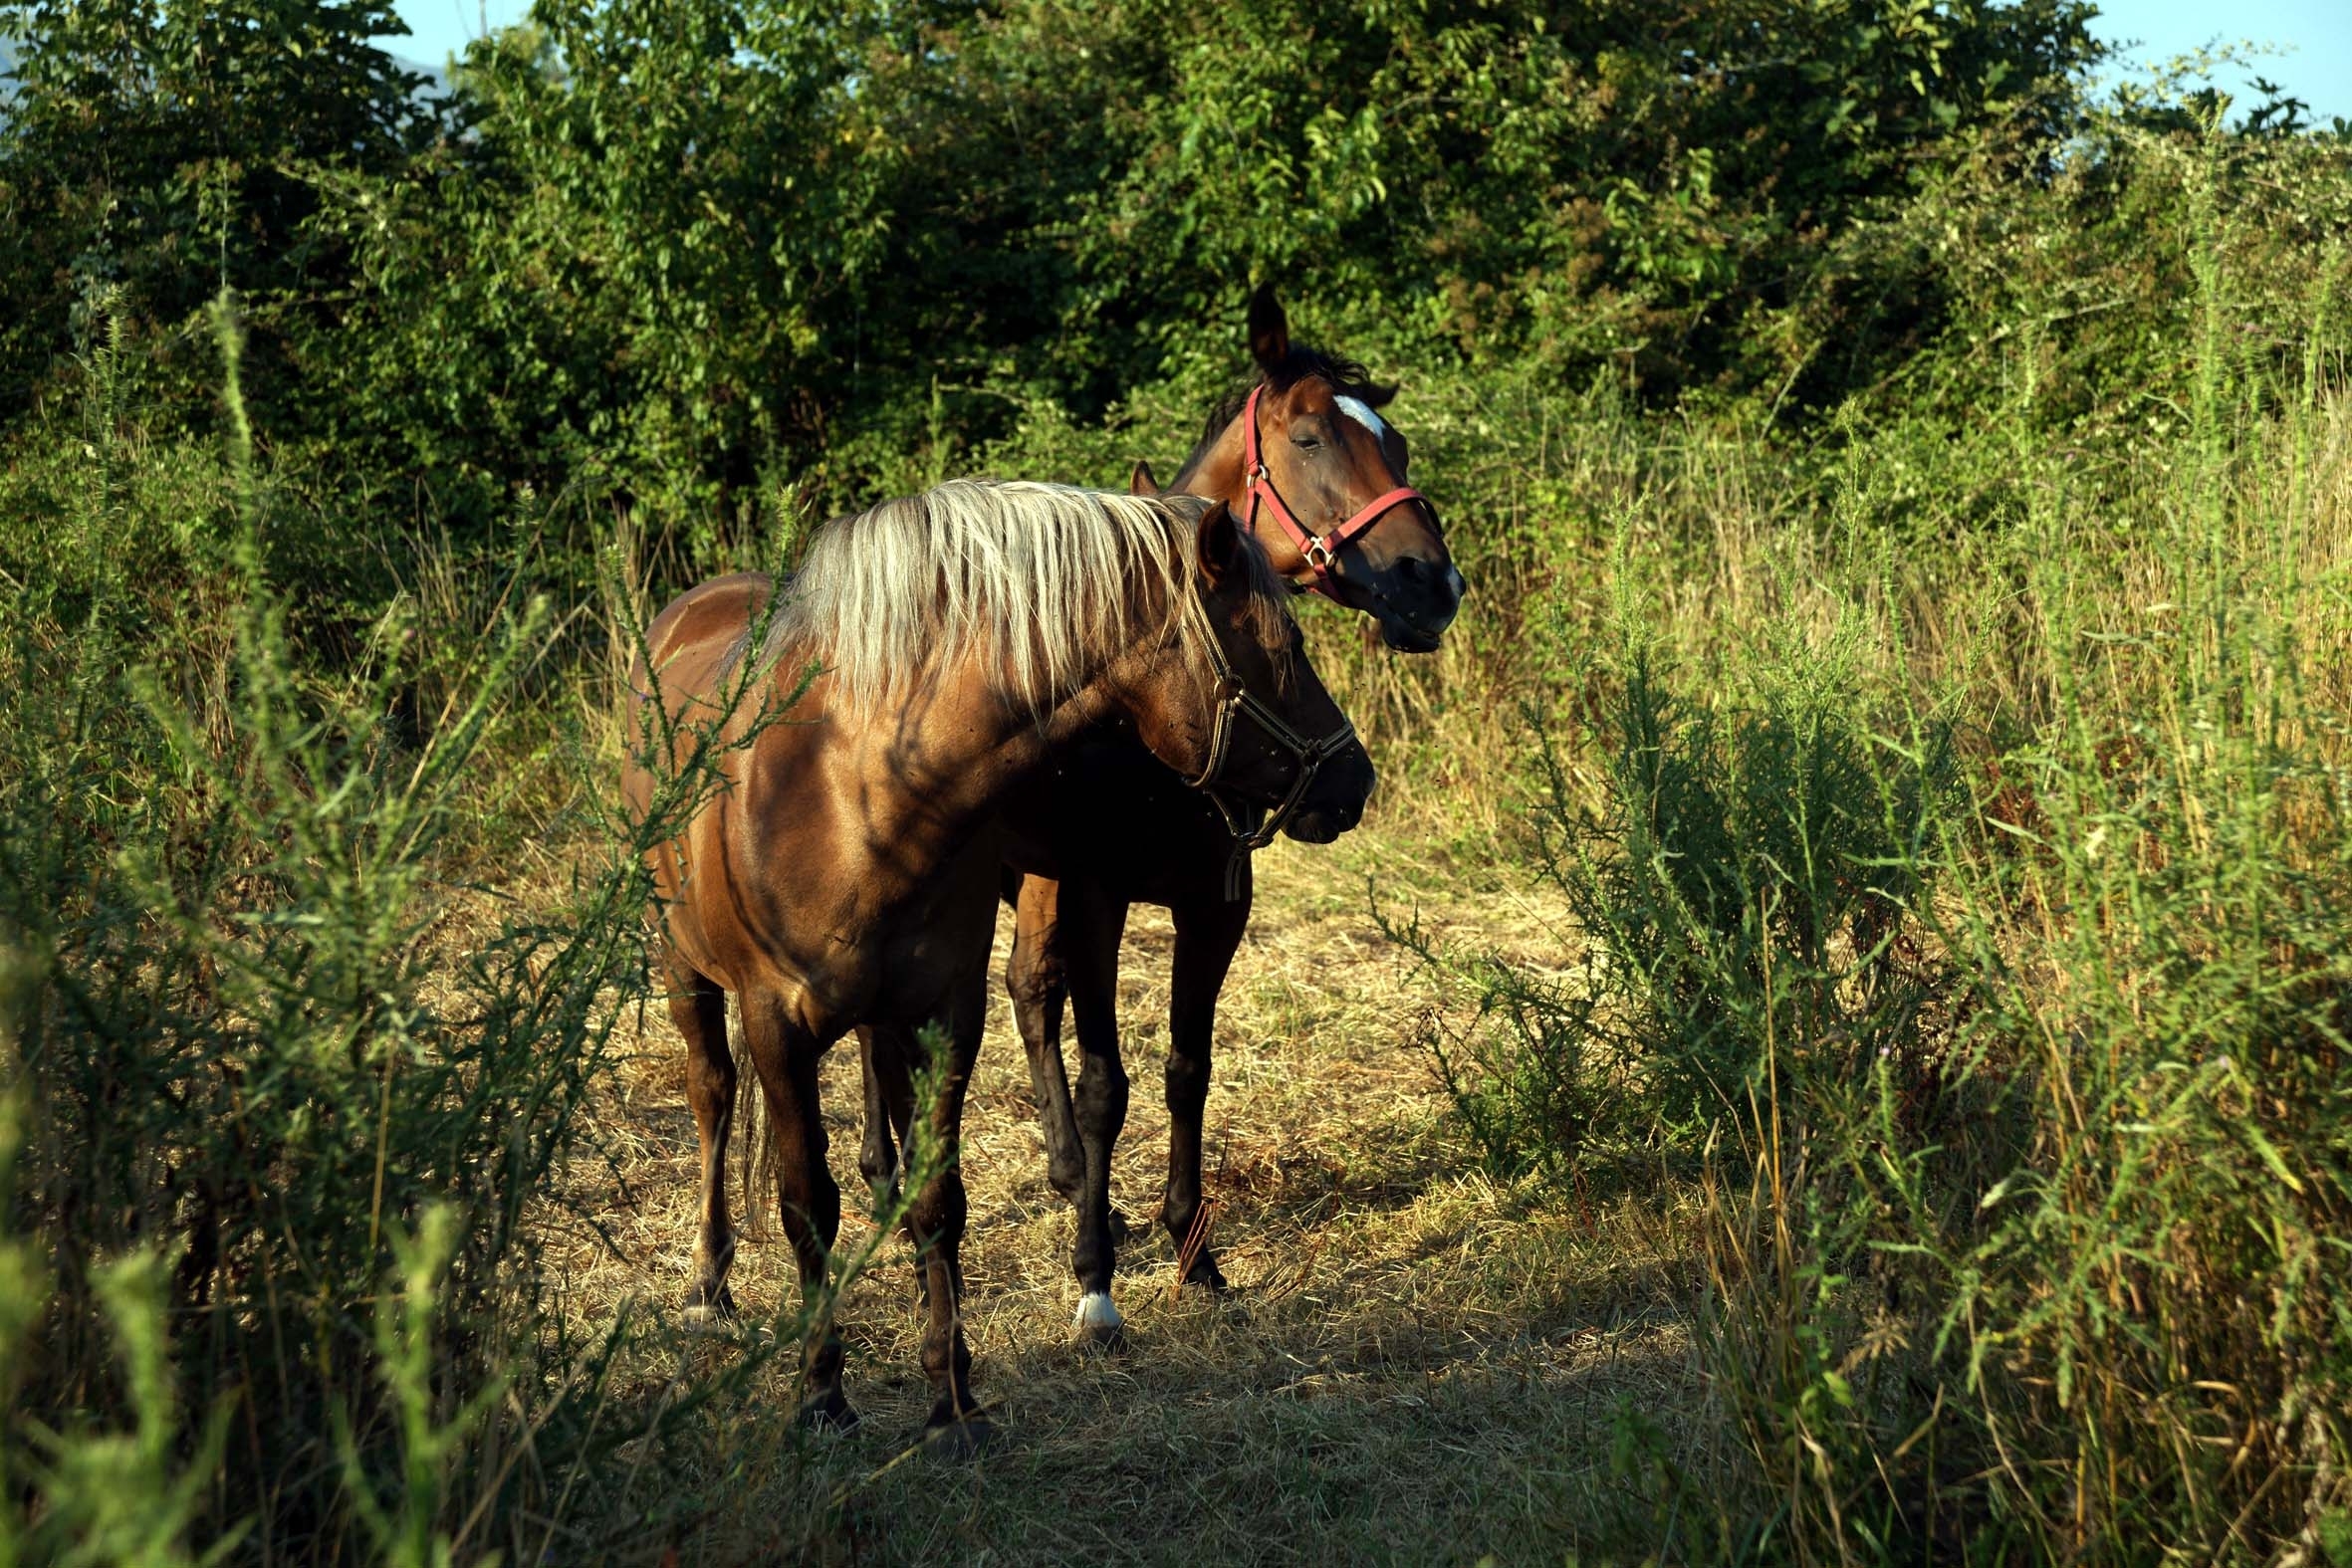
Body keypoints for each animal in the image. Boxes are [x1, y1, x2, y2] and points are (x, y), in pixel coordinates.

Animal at [625, 474, 1373, 1448]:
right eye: (1284, 646)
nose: (1354, 780)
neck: (852, 785)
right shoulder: (776, 1024)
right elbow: (805, 1204)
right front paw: (822, 1394)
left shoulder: (948, 1010)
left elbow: (942, 1198)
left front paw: (952, 1397)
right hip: (682, 965)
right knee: (713, 1098)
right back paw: (707, 1284)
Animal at [855, 288, 1458, 1344]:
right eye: (1311, 436)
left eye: (1399, 444)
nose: (1434, 582)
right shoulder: (1097, 896)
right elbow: (1109, 1085)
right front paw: (1095, 1279)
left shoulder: (1214, 906)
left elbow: (1187, 1065)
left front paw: (1193, 1246)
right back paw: (890, 1177)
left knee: (1027, 989)